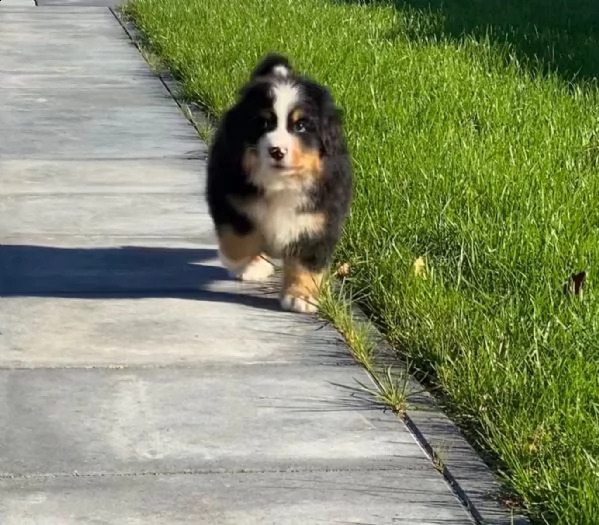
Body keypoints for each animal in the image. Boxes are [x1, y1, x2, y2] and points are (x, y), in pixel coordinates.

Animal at [207, 53, 352, 314]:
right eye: (264, 123)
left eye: (300, 126)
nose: (276, 150)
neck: (282, 183)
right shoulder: (229, 196)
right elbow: (238, 239)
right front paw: (244, 264)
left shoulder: (319, 219)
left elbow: (306, 262)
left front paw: (301, 296)